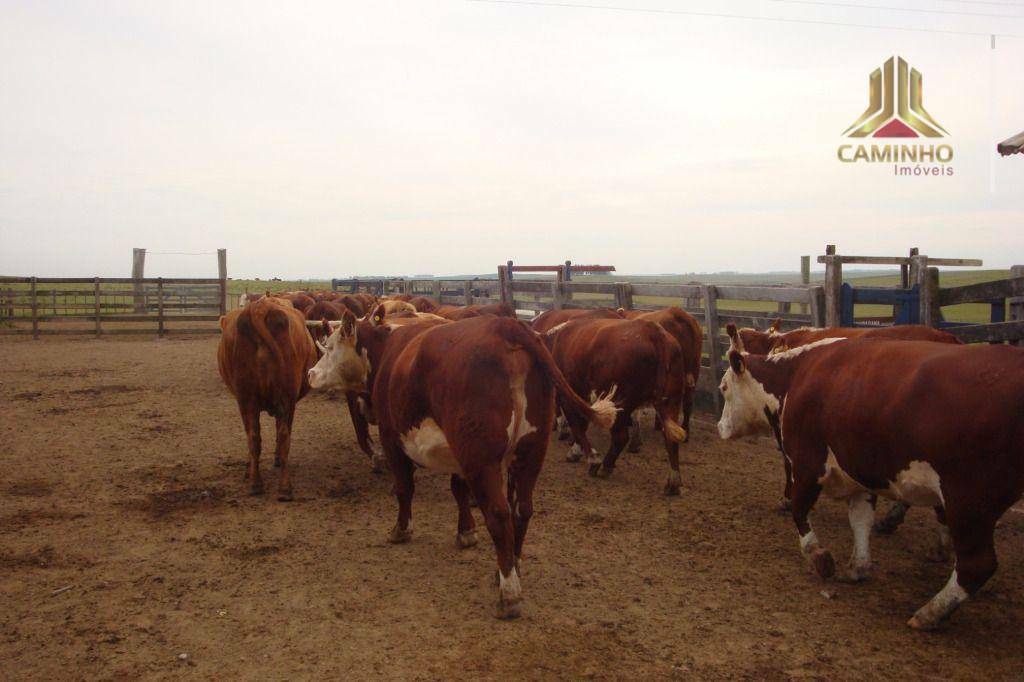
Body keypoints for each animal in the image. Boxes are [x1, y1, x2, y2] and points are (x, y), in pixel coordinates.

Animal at [214, 296, 313, 499]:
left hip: (249, 399)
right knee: (280, 436)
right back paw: (282, 487)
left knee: (254, 436)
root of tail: (260, 310)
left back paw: (257, 483)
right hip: (280, 399)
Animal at [299, 307, 610, 614]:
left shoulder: (391, 436)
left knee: (499, 514)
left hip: (482, 458)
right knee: (522, 509)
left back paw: (509, 592)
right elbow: (458, 490)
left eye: (330, 346)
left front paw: (401, 529)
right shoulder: (458, 452)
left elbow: (404, 487)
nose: (311, 373)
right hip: (530, 451)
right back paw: (511, 568)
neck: (388, 349)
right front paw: (466, 531)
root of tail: (507, 327)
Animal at [544, 315, 688, 491]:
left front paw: (587, 456)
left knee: (620, 437)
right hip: (671, 401)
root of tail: (653, 331)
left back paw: (605, 465)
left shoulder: (569, 395)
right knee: (671, 439)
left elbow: (577, 425)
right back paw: (673, 481)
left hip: (620, 403)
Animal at [716, 321, 1024, 630]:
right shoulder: (859, 471)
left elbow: (800, 510)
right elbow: (860, 519)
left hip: (968, 499)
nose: (720, 427)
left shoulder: (807, 465)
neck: (795, 375)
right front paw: (858, 567)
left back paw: (929, 613)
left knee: (977, 564)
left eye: (724, 386)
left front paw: (817, 555)